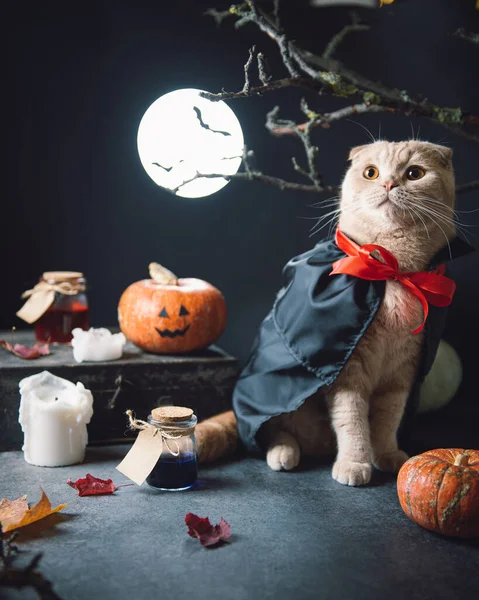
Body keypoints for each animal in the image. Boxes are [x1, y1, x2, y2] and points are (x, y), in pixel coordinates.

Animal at [195, 142, 462, 488]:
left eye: (414, 173)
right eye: (371, 173)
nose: (388, 184)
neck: (392, 270)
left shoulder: (401, 374)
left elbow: (386, 422)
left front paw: (386, 455)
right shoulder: (349, 372)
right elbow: (353, 423)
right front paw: (354, 463)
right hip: (282, 408)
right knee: (273, 432)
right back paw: (284, 454)